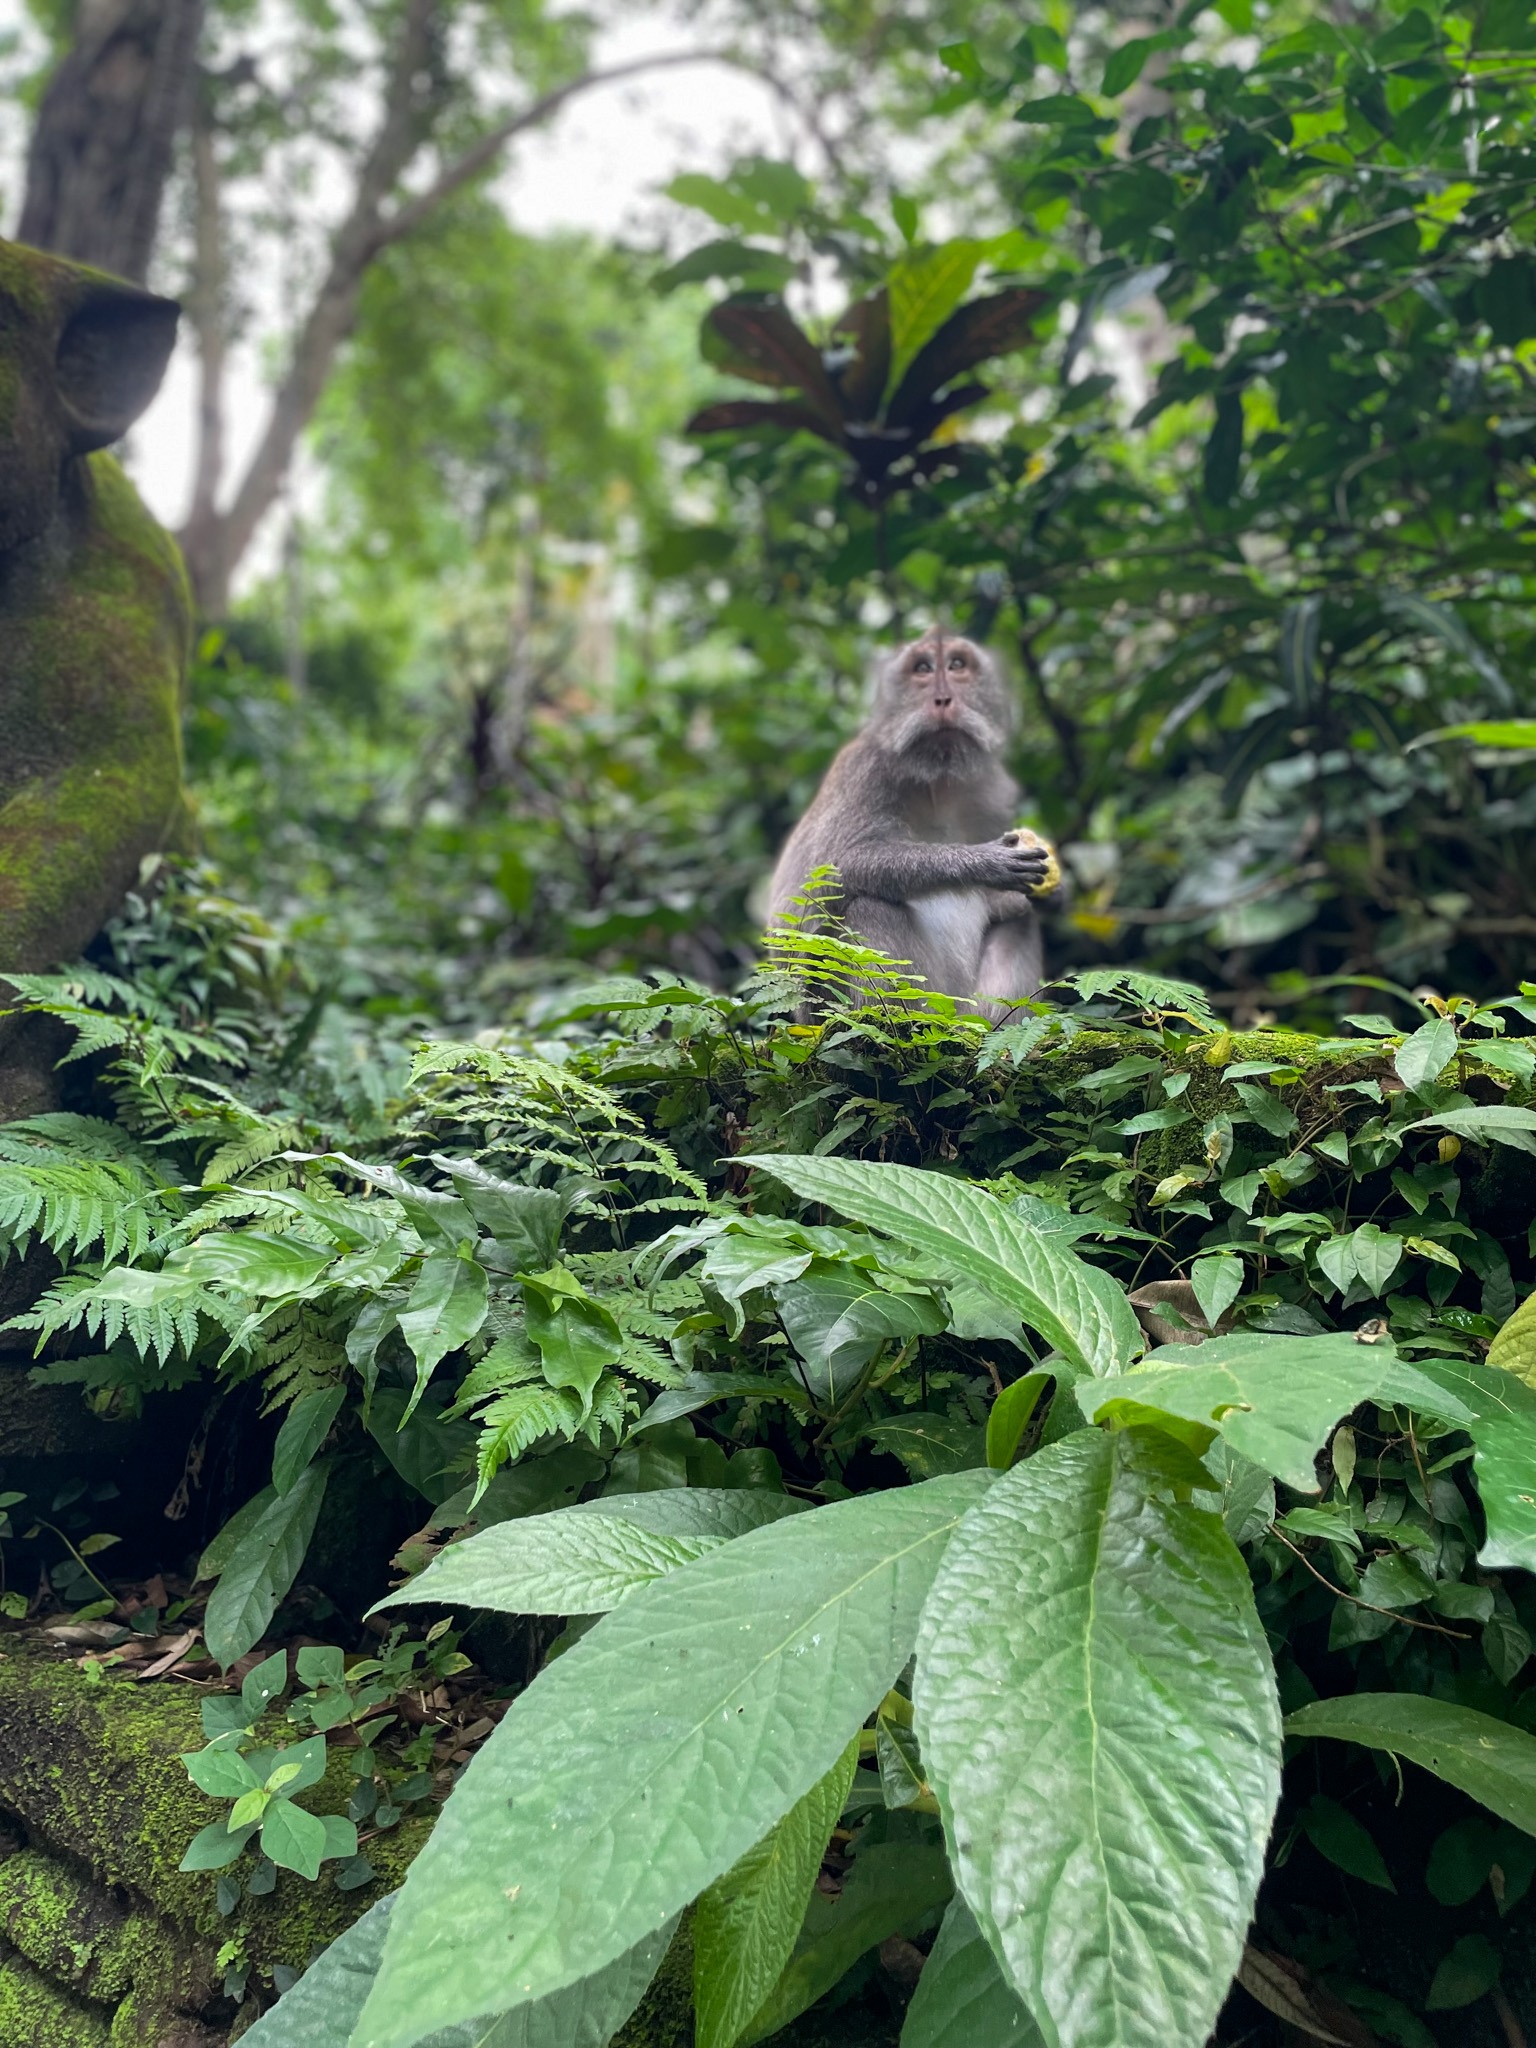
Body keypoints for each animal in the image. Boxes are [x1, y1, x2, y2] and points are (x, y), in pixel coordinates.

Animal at [768, 629, 1054, 1017]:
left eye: (957, 665)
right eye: (922, 669)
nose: (943, 698)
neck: (937, 779)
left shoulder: (995, 791)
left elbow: (1007, 904)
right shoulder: (865, 770)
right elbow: (833, 868)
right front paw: (985, 862)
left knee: (1020, 921)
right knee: (869, 906)